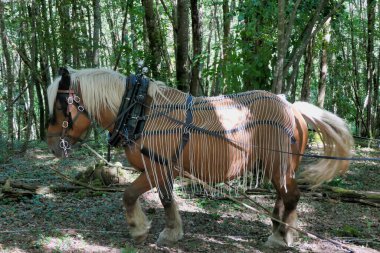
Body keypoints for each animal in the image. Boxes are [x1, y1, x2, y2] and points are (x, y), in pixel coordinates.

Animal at [46, 67, 354, 247]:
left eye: (60, 105)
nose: (51, 143)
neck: (139, 112)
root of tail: (292, 107)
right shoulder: (163, 170)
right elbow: (166, 199)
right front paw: (172, 232)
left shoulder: (155, 168)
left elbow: (130, 195)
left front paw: (139, 229)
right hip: (279, 167)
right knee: (283, 196)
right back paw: (277, 230)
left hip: (278, 165)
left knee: (290, 196)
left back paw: (281, 237)